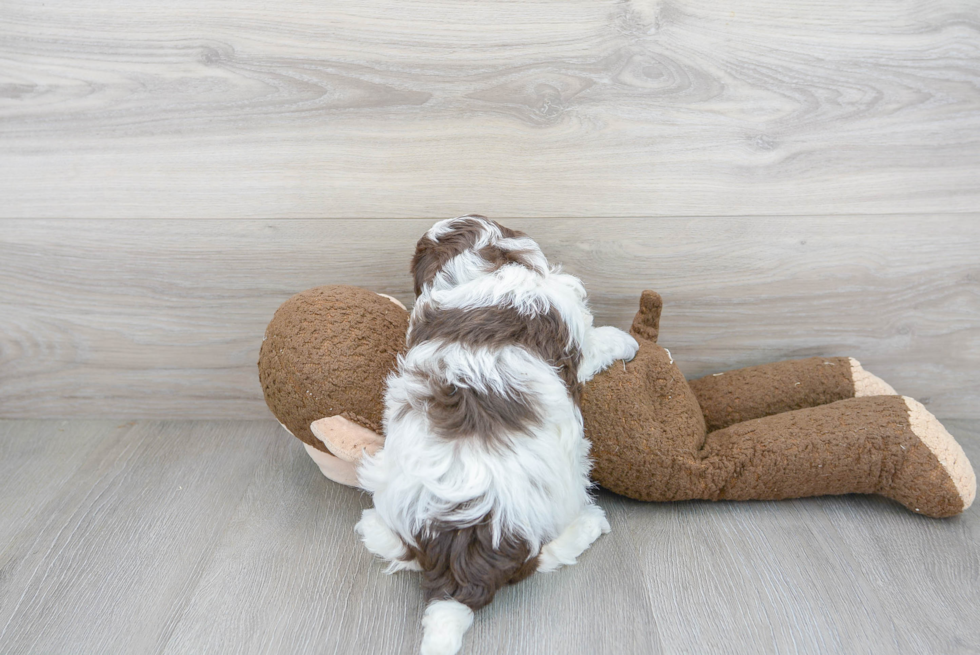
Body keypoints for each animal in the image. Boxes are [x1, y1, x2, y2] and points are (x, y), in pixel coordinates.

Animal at [356, 217, 640, 655]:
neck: (480, 266)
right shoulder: (574, 331)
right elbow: (597, 342)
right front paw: (626, 341)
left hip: (386, 479)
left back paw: (372, 527)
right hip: (563, 488)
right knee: (547, 556)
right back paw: (591, 525)